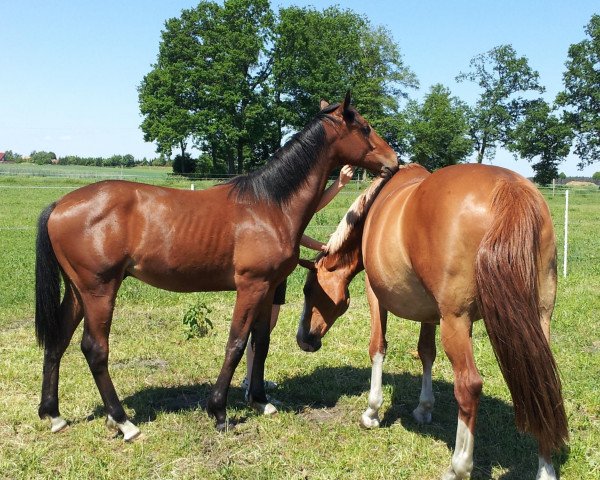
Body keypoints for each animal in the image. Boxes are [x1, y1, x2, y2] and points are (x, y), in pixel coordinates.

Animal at [32, 93, 398, 438]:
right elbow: (235, 344)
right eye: (364, 127)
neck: (269, 205)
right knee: (94, 349)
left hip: (78, 292)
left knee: (57, 341)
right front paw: (219, 412)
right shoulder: (250, 286)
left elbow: (260, 342)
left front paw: (260, 401)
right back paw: (123, 422)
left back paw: (54, 415)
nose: (393, 162)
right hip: (99, 291)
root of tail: (60, 205)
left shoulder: (267, 289)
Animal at [298, 163, 568, 478]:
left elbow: (377, 348)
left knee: (468, 386)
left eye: (308, 289)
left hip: (457, 322)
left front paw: (372, 412)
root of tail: (509, 189)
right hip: (539, 320)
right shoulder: (430, 312)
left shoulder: (375, 296)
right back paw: (546, 468)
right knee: (544, 385)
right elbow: (426, 352)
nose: (304, 339)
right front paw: (424, 408)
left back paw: (458, 466)